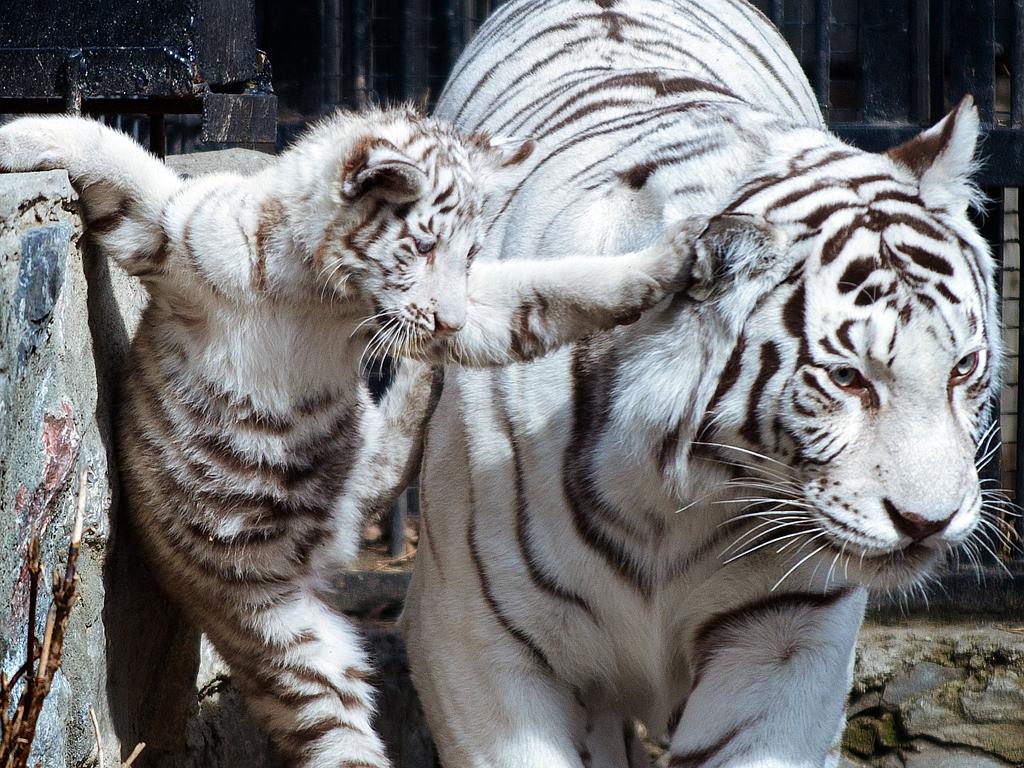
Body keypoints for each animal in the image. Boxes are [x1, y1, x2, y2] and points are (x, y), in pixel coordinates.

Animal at [403, 1, 1003, 768]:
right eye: (846, 378)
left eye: (963, 369)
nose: (930, 523)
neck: (667, 495)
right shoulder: (476, 641)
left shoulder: (784, 639)